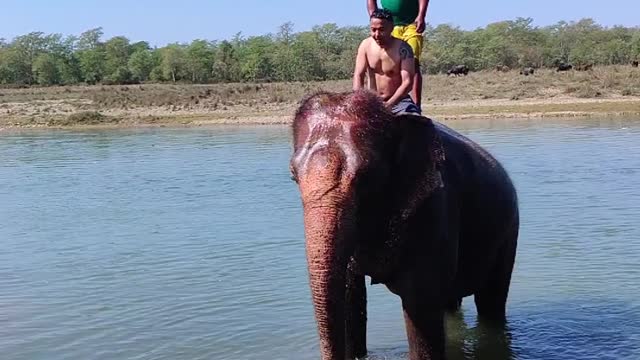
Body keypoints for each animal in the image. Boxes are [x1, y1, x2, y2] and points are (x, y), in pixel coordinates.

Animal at [290, 90, 520, 360]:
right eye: (293, 175)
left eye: (366, 176)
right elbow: (348, 296)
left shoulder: (434, 209)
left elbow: (419, 304)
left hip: (509, 230)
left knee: (490, 301)